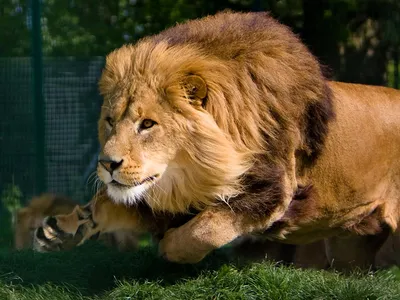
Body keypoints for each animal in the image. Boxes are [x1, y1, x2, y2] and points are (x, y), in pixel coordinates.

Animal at [33, 11, 400, 270]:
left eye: (147, 124)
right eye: (110, 121)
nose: (107, 164)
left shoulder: (274, 190)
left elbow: (206, 228)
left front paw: (170, 246)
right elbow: (108, 203)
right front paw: (60, 229)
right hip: (349, 246)